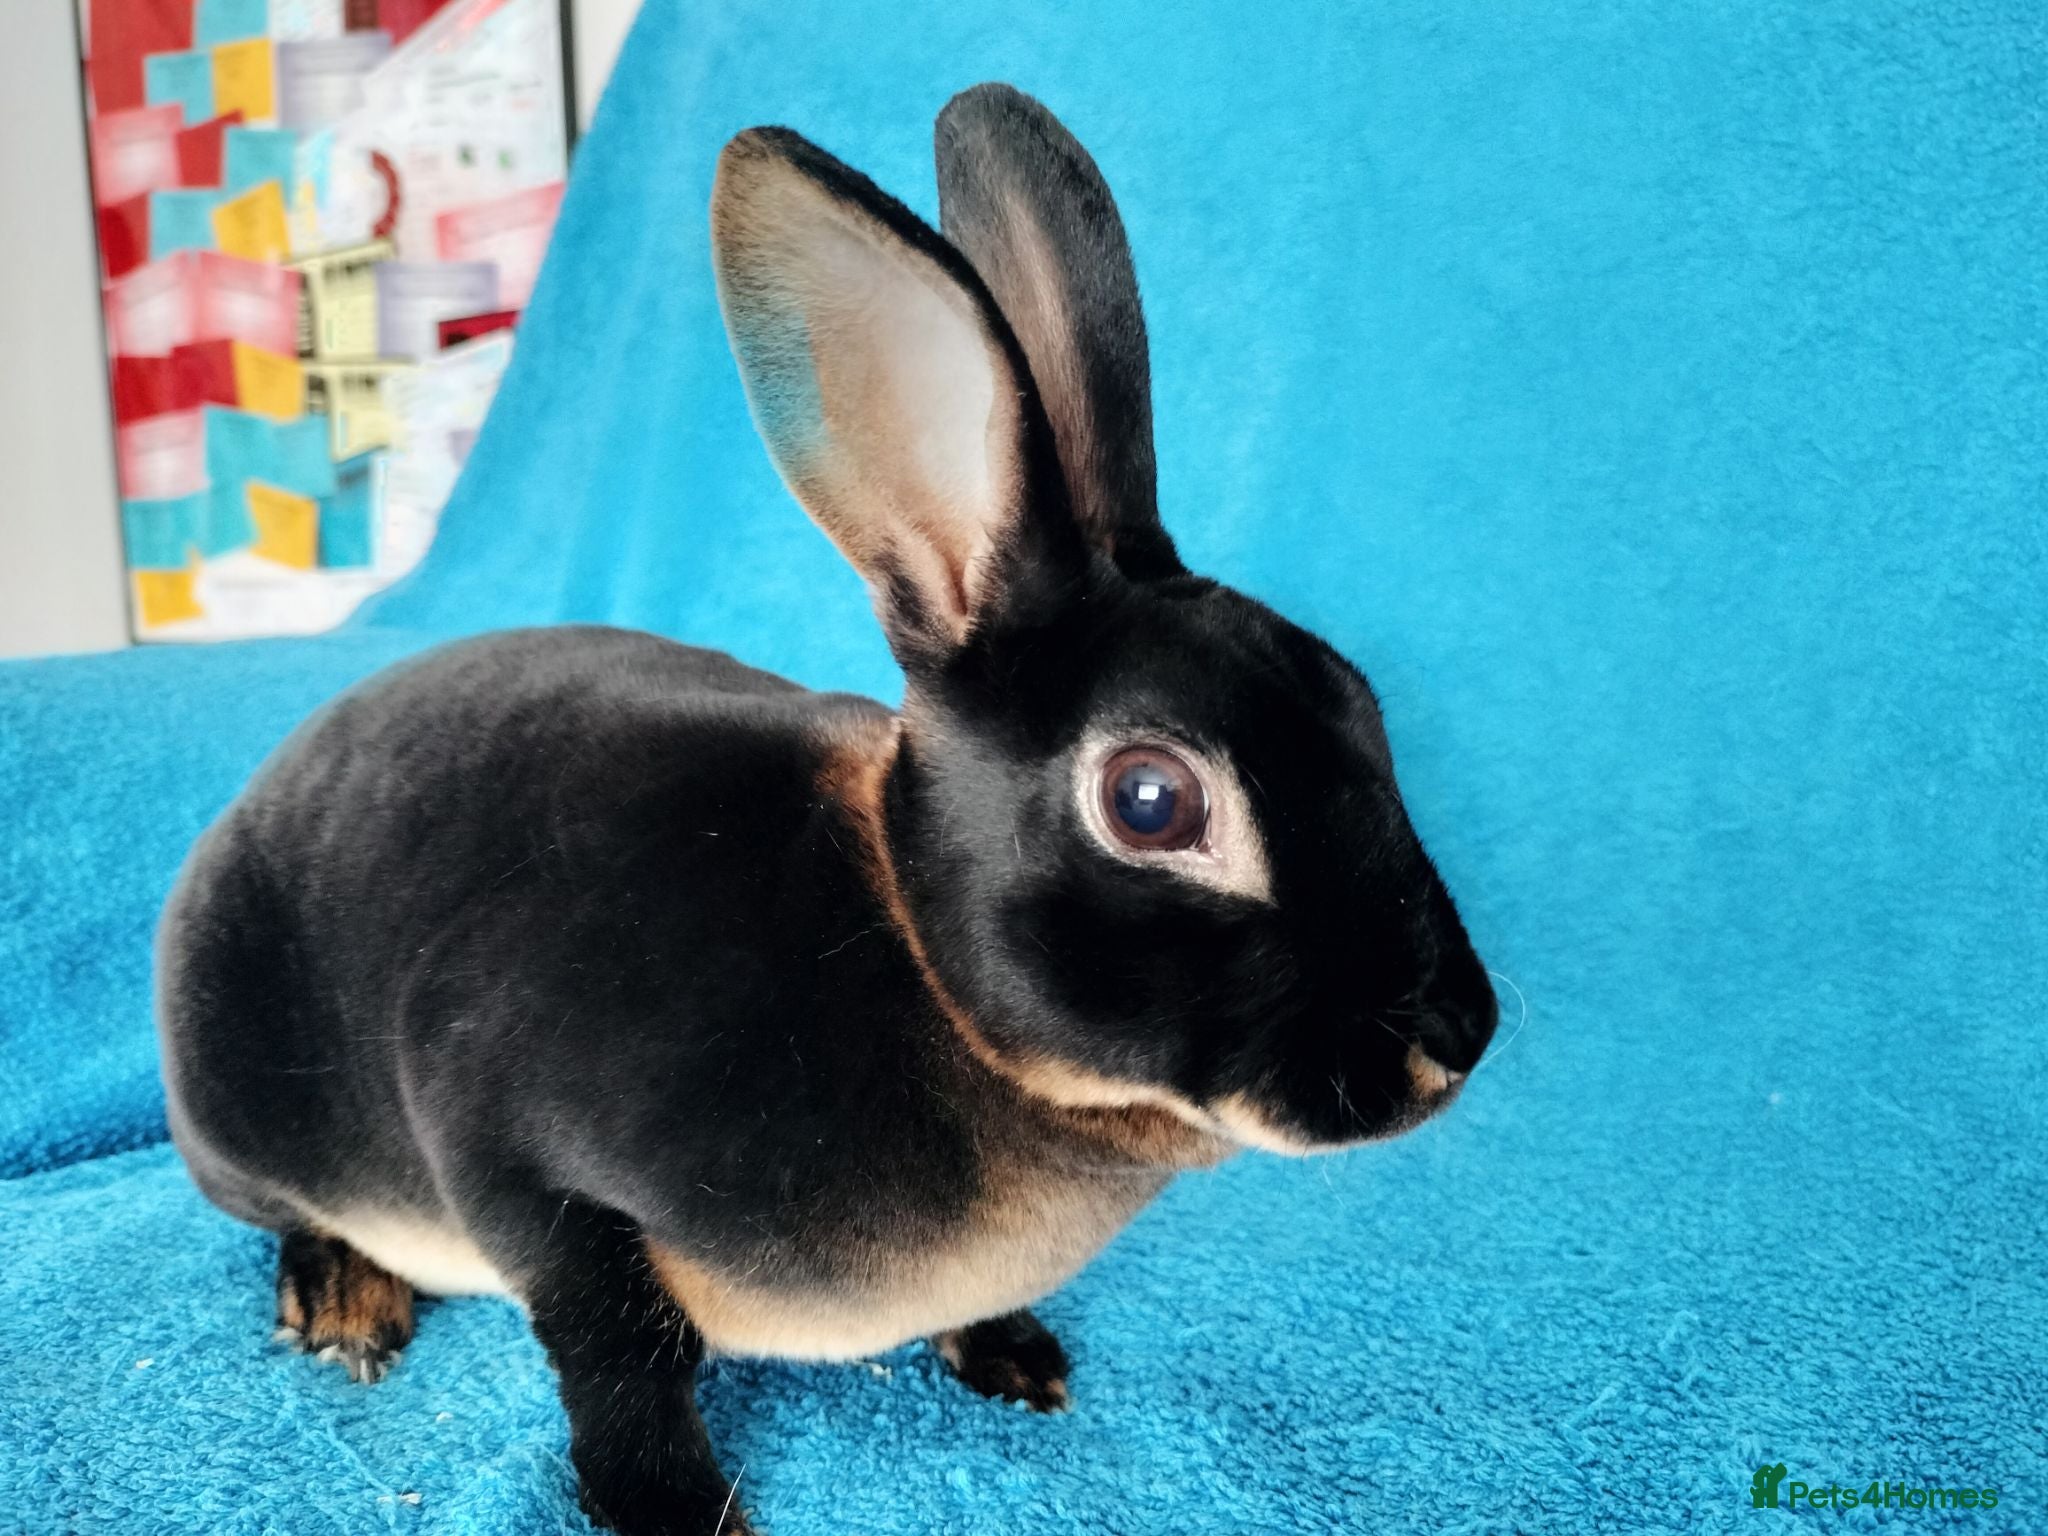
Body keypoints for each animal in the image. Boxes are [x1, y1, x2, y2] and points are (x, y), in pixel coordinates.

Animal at [157, 83, 1498, 1536]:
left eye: (1356, 697)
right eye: (1151, 801)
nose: (1459, 1035)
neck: (915, 958)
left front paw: (1013, 1356)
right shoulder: (512, 1154)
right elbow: (619, 1351)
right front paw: (679, 1513)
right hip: (240, 1117)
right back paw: (344, 1306)